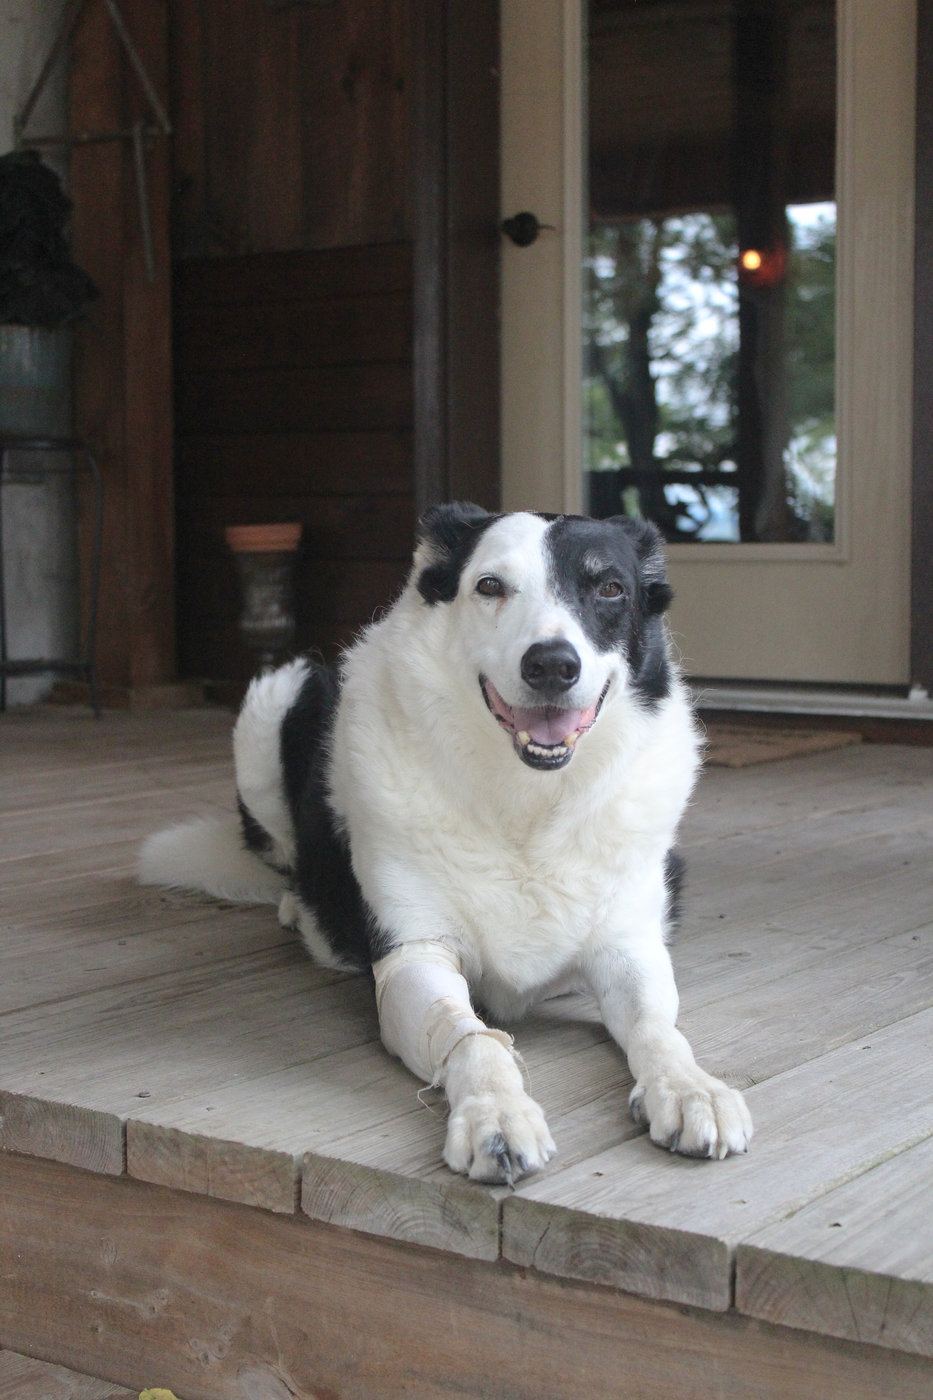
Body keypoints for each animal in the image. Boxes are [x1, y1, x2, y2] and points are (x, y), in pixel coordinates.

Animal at [137, 504, 750, 1181]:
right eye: (490, 586)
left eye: (611, 588)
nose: (551, 665)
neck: (526, 804)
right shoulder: (414, 956)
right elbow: (469, 1038)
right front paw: (495, 1115)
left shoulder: (629, 947)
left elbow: (656, 1026)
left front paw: (690, 1087)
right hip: (277, 696)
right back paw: (302, 907)